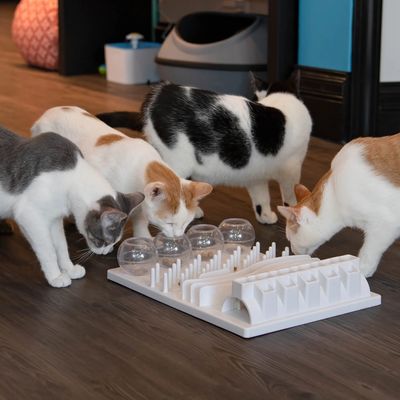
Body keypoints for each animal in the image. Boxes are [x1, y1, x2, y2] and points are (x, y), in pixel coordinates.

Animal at [0, 126, 144, 286]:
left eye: (114, 242)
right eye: (102, 241)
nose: (105, 252)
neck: (70, 178)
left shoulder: (54, 219)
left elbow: (61, 245)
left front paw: (69, 269)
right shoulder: (29, 216)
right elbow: (48, 250)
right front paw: (56, 276)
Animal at [30, 105, 212, 238]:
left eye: (186, 223)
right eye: (169, 223)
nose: (178, 236)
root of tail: (47, 112)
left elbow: (140, 220)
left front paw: (143, 239)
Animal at [97, 80, 312, 225]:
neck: (282, 102)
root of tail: (158, 93)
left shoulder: (255, 174)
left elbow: (261, 198)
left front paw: (265, 216)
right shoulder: (291, 170)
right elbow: (290, 197)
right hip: (178, 162)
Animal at [276, 134, 400, 278]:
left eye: (289, 238)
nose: (292, 251)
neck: (335, 193)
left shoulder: (384, 226)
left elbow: (368, 252)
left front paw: (361, 271)